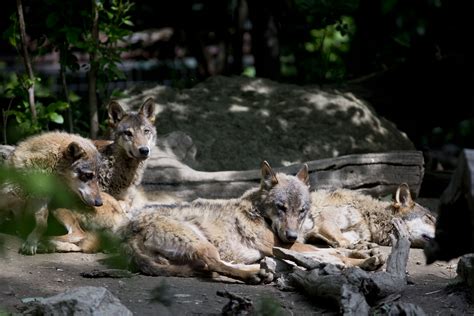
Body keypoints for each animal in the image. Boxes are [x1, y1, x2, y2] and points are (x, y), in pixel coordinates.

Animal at [122, 162, 382, 282]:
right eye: (281, 207)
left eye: (301, 210)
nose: (291, 236)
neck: (261, 213)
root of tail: (127, 233)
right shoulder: (279, 246)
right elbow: (332, 254)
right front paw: (361, 260)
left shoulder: (291, 245)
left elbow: (333, 250)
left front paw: (364, 253)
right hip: (202, 243)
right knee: (212, 264)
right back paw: (255, 274)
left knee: (210, 268)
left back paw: (261, 270)